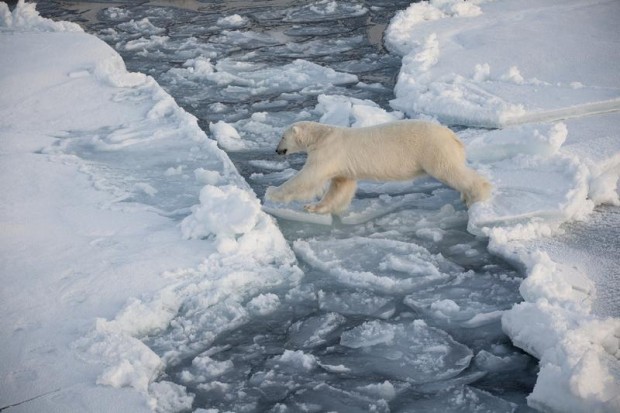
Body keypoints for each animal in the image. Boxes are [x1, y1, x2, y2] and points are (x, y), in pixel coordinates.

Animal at [264, 119, 492, 214]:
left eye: (282, 136)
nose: (276, 150)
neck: (321, 135)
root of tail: (452, 136)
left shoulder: (328, 152)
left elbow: (308, 177)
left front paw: (272, 192)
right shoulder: (341, 163)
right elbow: (340, 186)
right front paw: (316, 207)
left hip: (433, 149)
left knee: (449, 170)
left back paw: (478, 194)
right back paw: (465, 196)